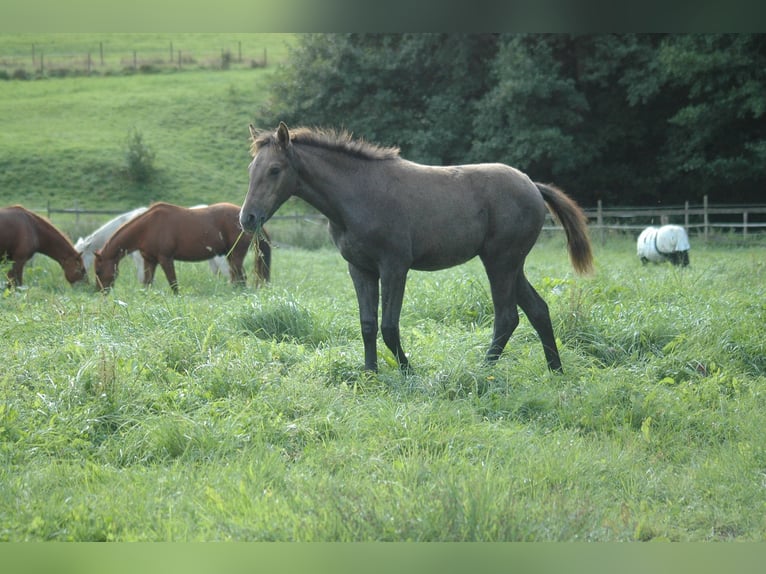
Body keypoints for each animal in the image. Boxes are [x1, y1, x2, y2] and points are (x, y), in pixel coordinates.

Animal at [94, 202, 271, 293]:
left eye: (98, 271)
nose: (101, 291)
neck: (148, 227)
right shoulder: (149, 261)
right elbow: (147, 283)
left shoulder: (165, 259)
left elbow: (173, 284)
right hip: (229, 256)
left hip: (236, 256)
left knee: (241, 279)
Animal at [239, 123, 593, 372]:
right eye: (251, 169)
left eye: (275, 170)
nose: (247, 218)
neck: (358, 194)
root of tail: (532, 184)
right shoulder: (360, 268)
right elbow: (367, 325)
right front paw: (370, 373)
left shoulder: (395, 267)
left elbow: (388, 326)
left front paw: (409, 371)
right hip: (511, 263)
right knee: (538, 310)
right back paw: (555, 371)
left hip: (500, 261)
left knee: (507, 317)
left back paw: (483, 370)